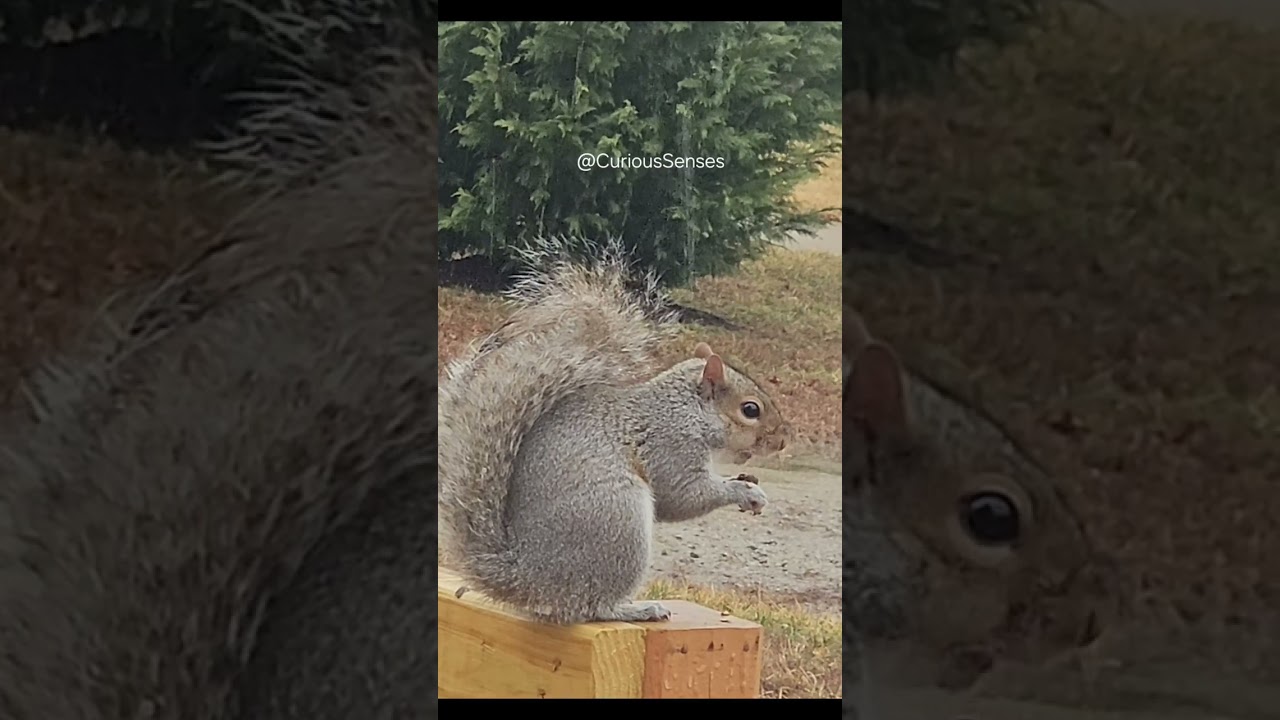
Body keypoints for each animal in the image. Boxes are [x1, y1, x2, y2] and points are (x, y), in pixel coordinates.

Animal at [438, 243, 791, 624]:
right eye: (750, 410)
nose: (782, 440)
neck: (688, 411)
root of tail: (527, 577)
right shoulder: (670, 443)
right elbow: (682, 496)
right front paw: (744, 492)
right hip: (617, 517)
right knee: (592, 605)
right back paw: (635, 609)